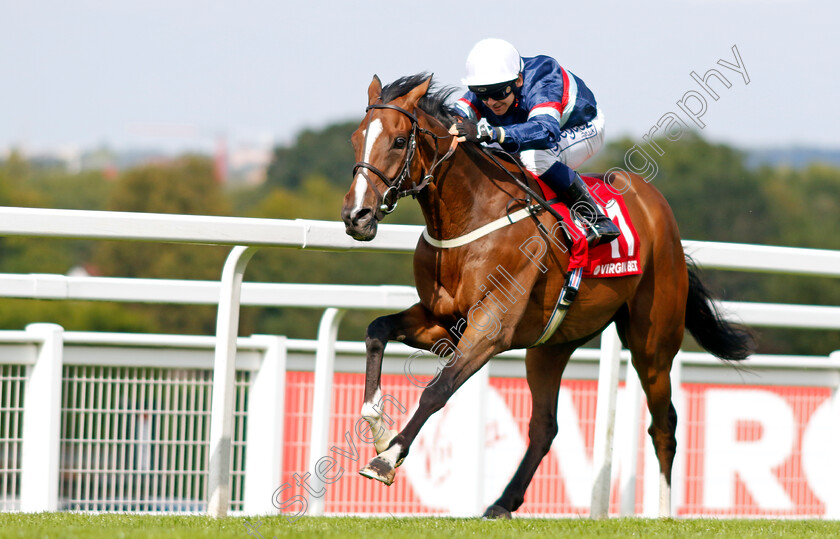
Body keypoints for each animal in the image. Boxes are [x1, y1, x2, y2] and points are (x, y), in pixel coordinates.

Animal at [338, 73, 752, 520]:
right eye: (356, 137)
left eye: (399, 141)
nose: (356, 216)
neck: (469, 216)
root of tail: (658, 206)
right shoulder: (444, 323)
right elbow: (377, 330)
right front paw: (378, 428)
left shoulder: (490, 328)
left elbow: (436, 389)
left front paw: (386, 458)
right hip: (550, 346)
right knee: (544, 426)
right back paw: (502, 502)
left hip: (653, 343)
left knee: (665, 424)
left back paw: (661, 512)